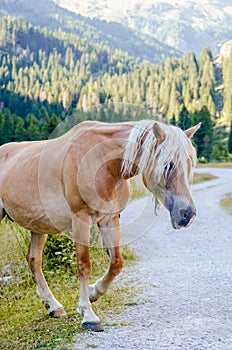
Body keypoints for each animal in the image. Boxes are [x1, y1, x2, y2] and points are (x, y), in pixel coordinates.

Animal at [0, 119, 199, 330]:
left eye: (189, 164)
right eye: (168, 165)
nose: (188, 214)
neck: (102, 163)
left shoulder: (109, 219)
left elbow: (116, 263)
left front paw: (93, 292)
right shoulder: (81, 219)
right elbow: (84, 265)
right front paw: (88, 315)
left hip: (38, 225)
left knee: (34, 260)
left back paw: (53, 306)